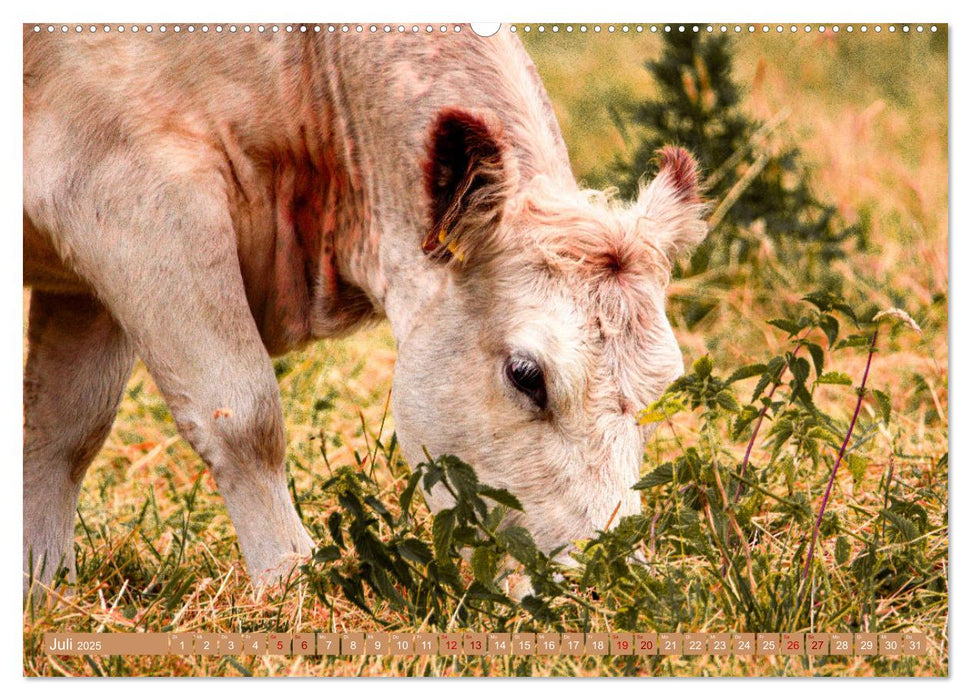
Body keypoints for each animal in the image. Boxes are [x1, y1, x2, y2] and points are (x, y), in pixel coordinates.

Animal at [20, 27, 708, 592]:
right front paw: (290, 589)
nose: (610, 583)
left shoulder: (86, 268)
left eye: (663, 391)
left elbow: (61, 433)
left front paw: (43, 589)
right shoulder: (136, 195)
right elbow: (242, 416)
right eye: (526, 375)